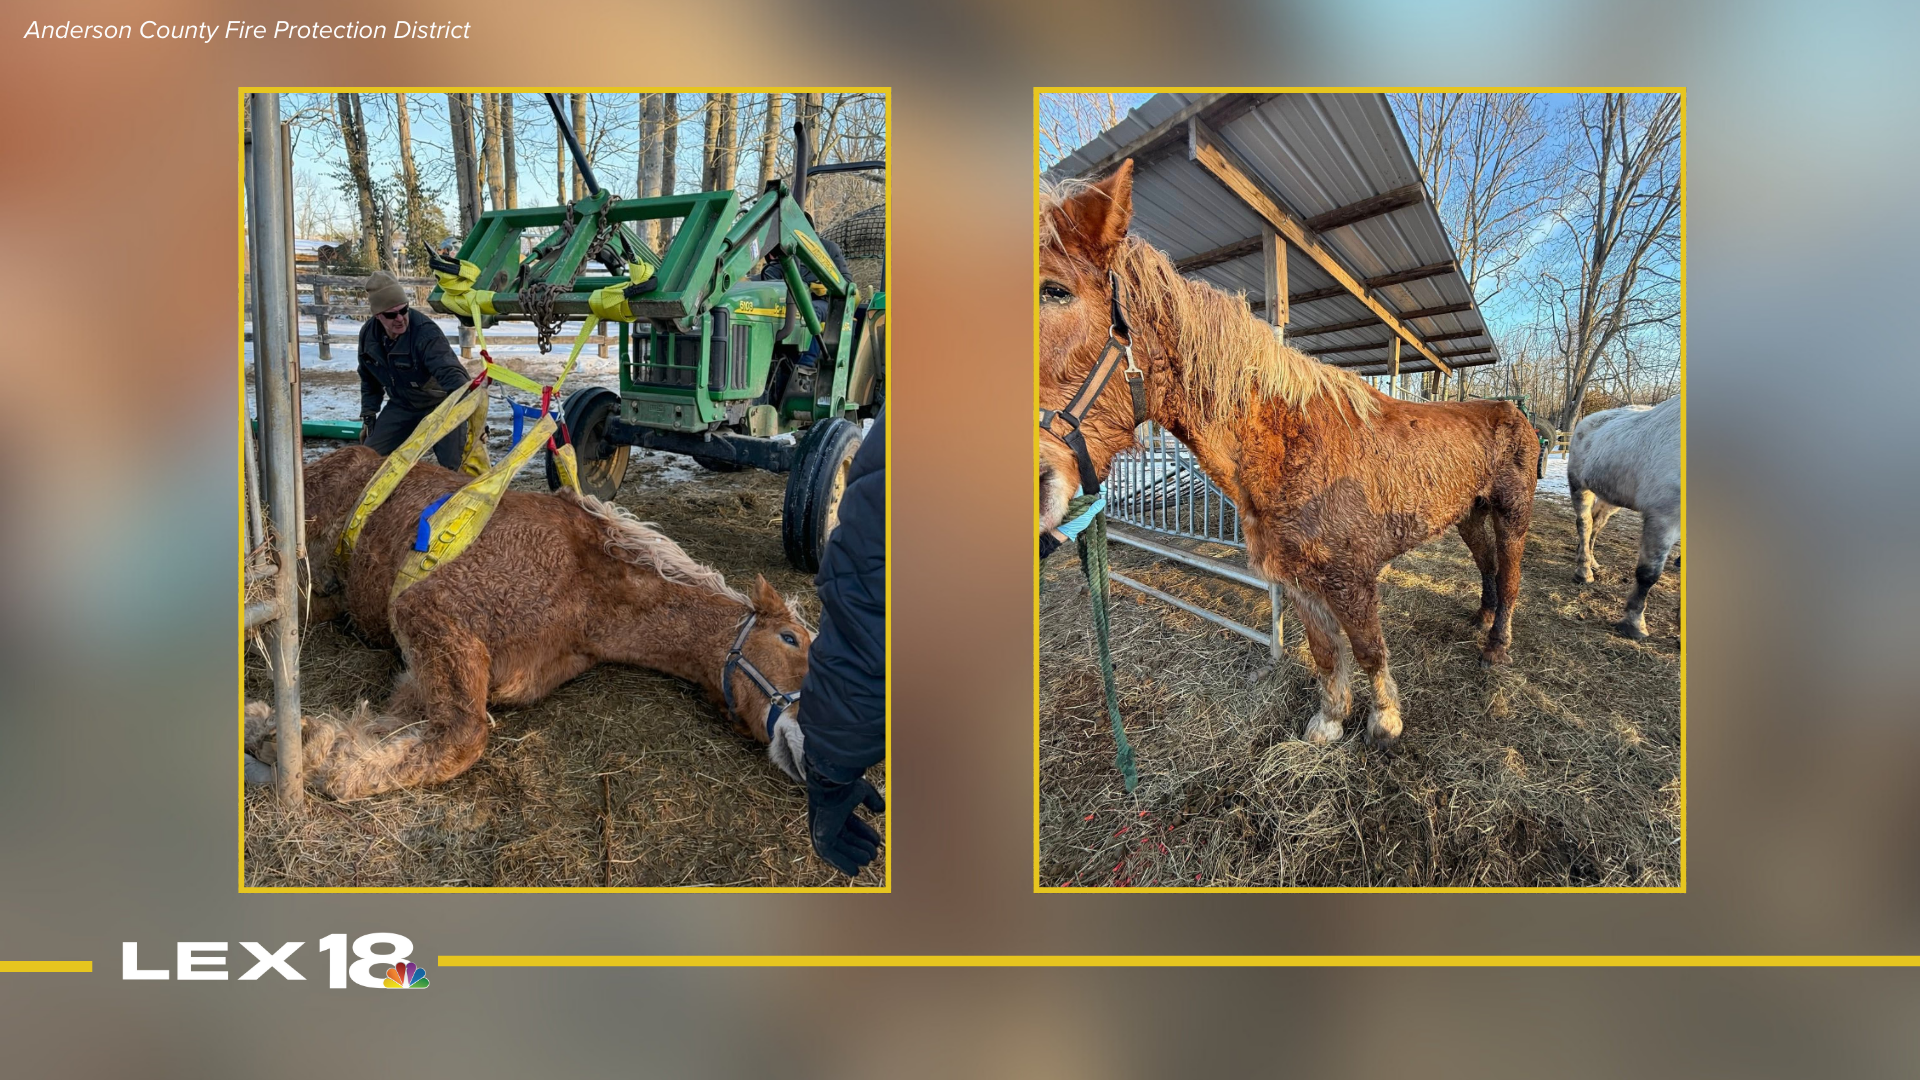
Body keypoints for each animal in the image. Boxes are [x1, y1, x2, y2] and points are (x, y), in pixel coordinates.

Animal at [244, 444, 812, 800]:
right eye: (791, 638)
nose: (812, 751)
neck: (584, 586)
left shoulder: (430, 670)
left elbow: (407, 727)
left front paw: (305, 738)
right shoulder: (428, 613)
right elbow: (465, 737)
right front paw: (310, 755)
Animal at [1038, 161, 1539, 749]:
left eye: (1055, 291)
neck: (1287, 441)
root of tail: (1517, 410)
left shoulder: (1351, 578)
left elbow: (1368, 648)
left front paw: (1385, 720)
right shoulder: (1299, 579)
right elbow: (1325, 652)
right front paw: (1330, 720)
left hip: (1512, 514)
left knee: (1511, 575)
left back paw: (1496, 647)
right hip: (1469, 514)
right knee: (1488, 565)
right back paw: (1481, 617)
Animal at [1566, 395, 1682, 639]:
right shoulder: (1663, 517)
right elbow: (1648, 574)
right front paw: (1633, 624)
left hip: (1611, 497)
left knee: (1596, 523)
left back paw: (1591, 560)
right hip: (1580, 486)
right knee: (1585, 524)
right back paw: (1584, 571)